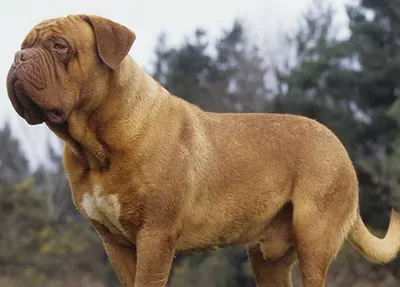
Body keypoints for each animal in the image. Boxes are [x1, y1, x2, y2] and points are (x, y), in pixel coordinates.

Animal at [5, 14, 400, 286]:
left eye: (60, 46)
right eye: (25, 44)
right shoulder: (115, 243)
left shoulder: (155, 236)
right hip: (268, 258)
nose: (19, 57)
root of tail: (339, 147)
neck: (96, 144)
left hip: (314, 238)